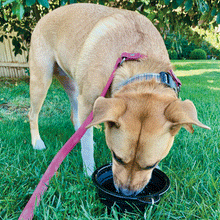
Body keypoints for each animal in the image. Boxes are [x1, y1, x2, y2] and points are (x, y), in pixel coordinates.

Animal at [28, 3, 211, 196]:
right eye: (116, 157)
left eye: (151, 165)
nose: (126, 194)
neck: (139, 60)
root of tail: (45, 16)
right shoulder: (88, 102)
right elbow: (87, 146)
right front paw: (88, 170)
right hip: (42, 80)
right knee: (33, 113)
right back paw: (37, 142)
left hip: (73, 85)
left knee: (76, 117)